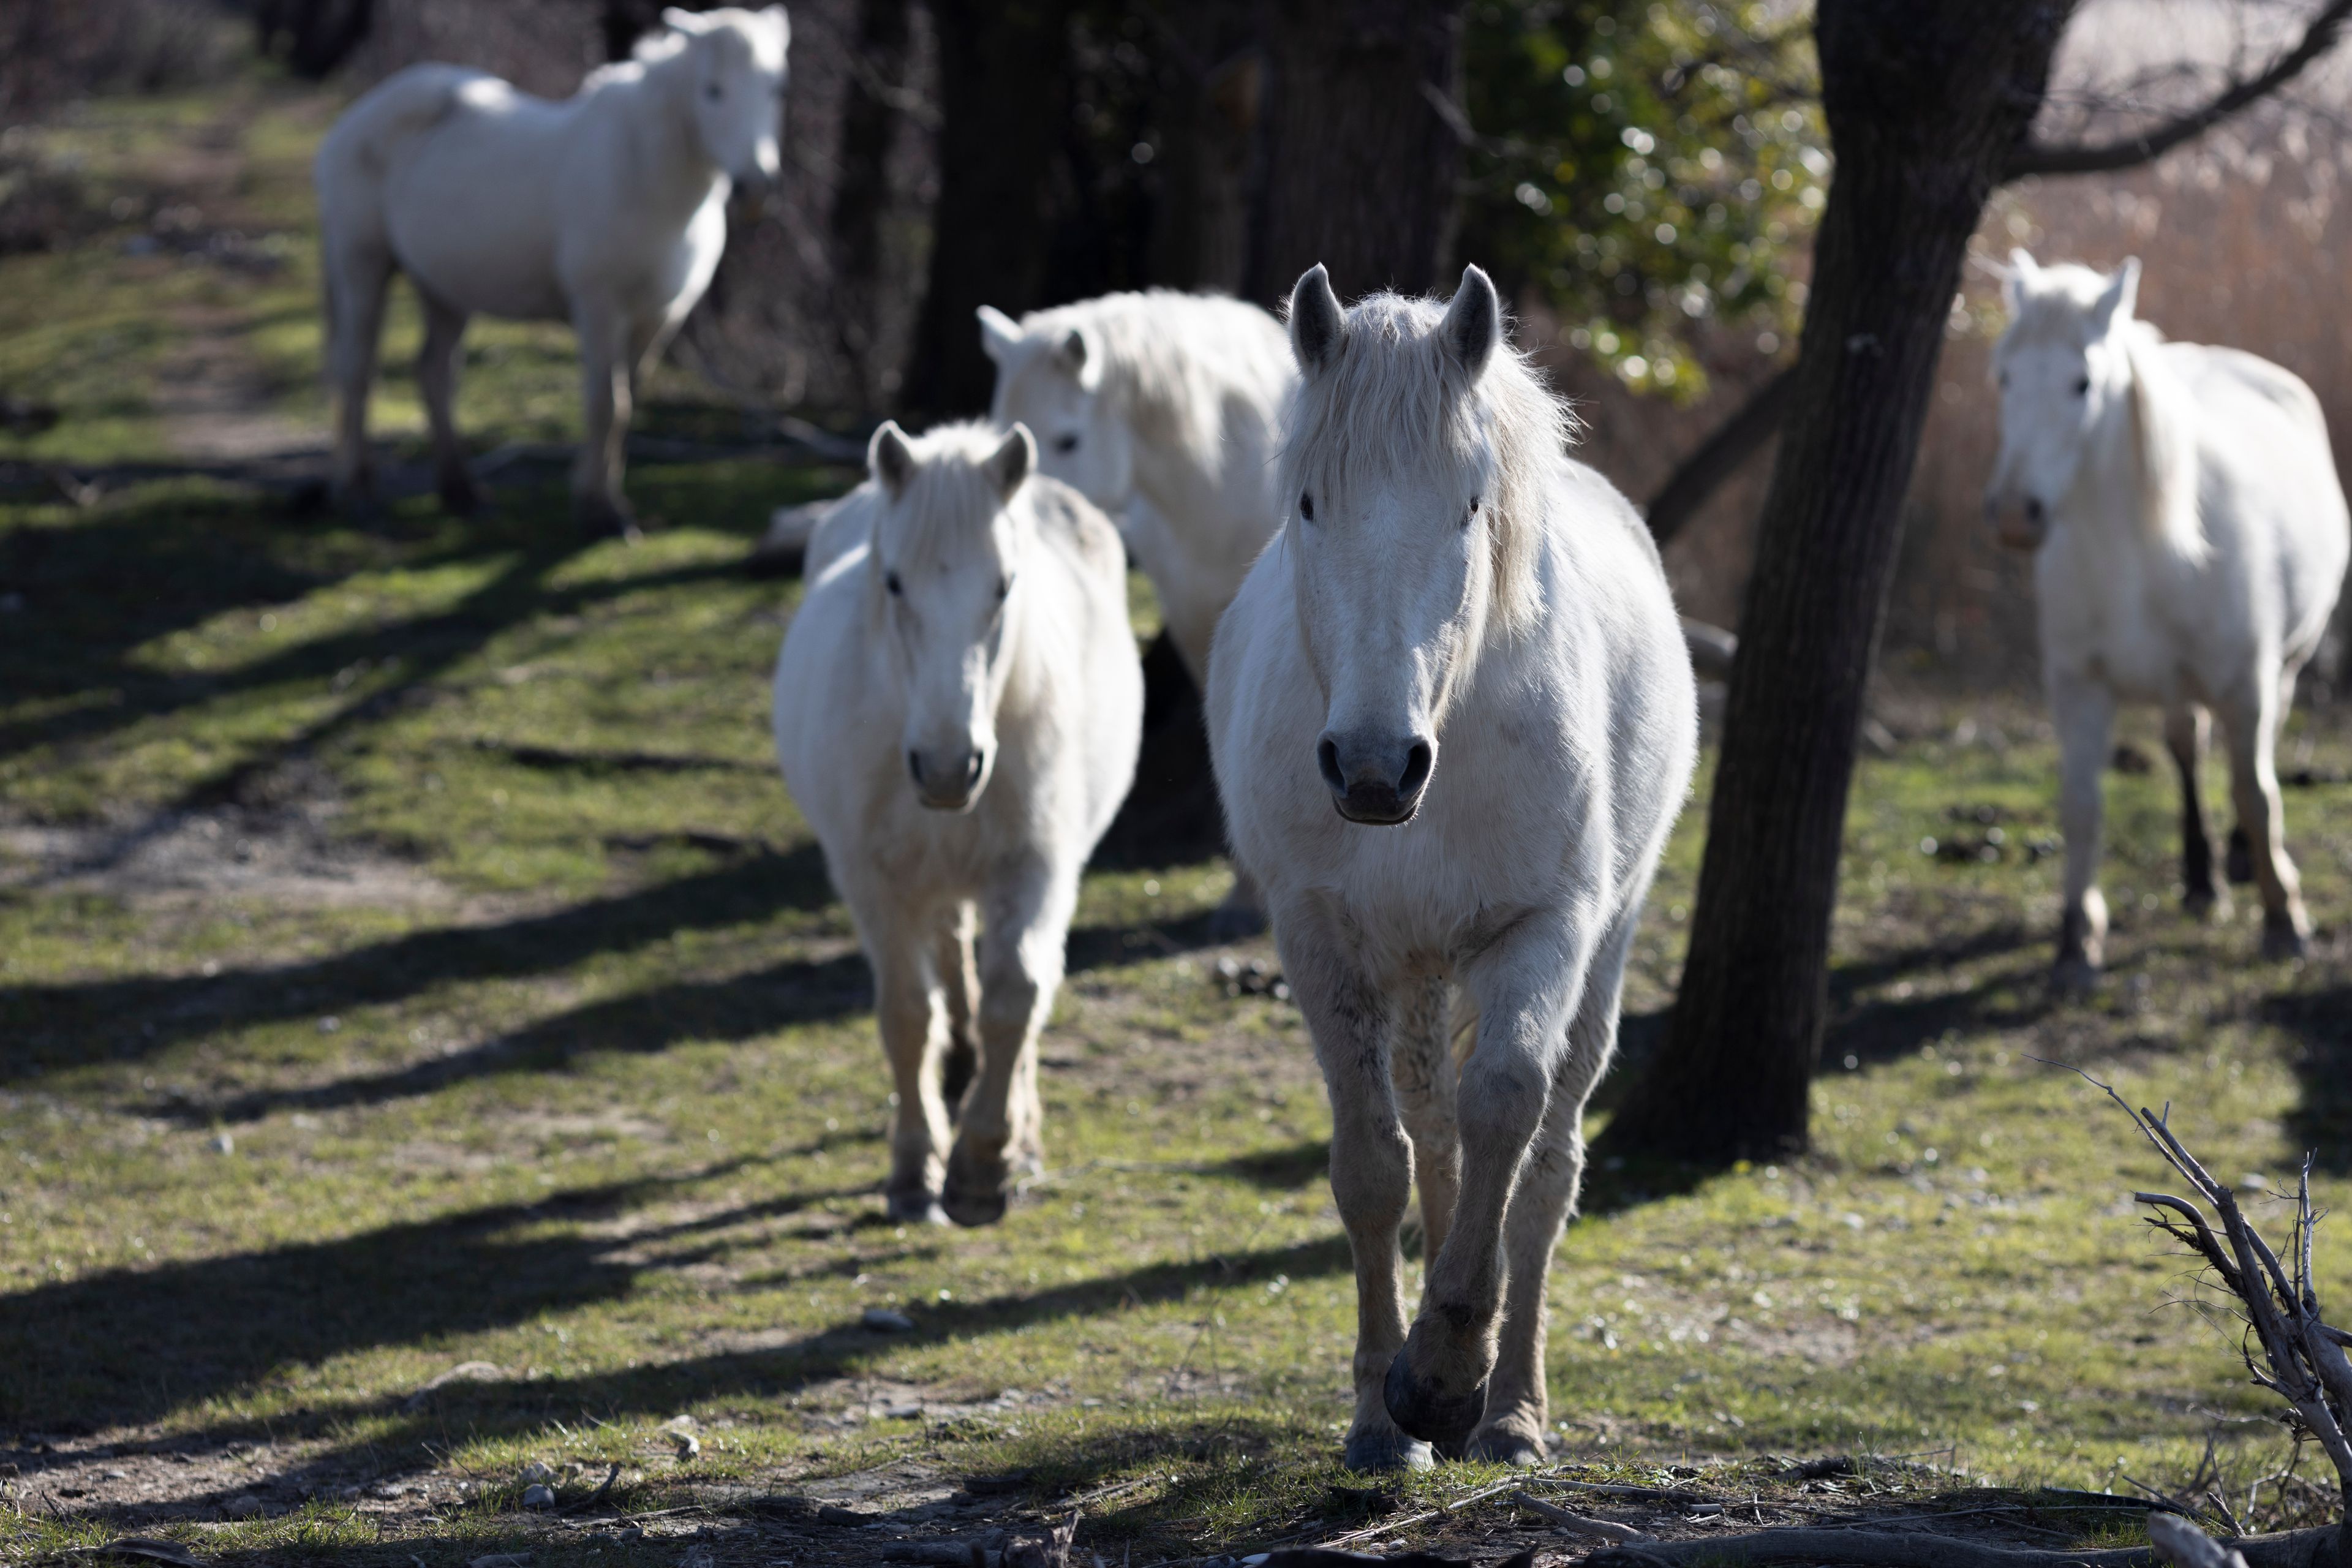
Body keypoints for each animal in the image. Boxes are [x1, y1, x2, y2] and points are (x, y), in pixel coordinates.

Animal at [314, 6, 788, 534]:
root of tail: (354, 120)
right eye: (713, 90)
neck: (642, 175)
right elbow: (607, 404)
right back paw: (357, 489)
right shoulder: (600, 309)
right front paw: (601, 509)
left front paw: (601, 493)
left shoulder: (659, 317)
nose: (756, 186)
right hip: (361, 265)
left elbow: (629, 399)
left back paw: (460, 491)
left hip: (442, 290)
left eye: (776, 88)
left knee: (434, 374)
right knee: (356, 370)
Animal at [773, 420, 1142, 1226]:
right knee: (948, 950)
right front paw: (915, 1164)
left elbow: (1017, 995)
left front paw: (982, 1161)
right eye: (893, 582)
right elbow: (909, 1015)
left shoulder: (1038, 868)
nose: (947, 768)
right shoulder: (874, 881)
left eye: (1003, 586)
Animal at [1206, 265, 1697, 1469]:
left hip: (1601, 952)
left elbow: (1508, 1114)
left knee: (1544, 1169)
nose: (1375, 768)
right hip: (1417, 970)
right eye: (1309, 503)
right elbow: (1375, 1166)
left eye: (1470, 506)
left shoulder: (1545, 930)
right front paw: (1384, 1414)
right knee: (1431, 1134)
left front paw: (1443, 1376)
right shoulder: (1320, 938)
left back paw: (1512, 1407)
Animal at [1986, 252, 2348, 987]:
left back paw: (2238, 862)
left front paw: (2284, 919)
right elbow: (2082, 807)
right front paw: (2076, 941)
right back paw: (2202, 878)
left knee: (2259, 753)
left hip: (2286, 664)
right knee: (2187, 748)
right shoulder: (2079, 688)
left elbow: (2257, 792)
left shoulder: (2245, 683)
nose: (2014, 514)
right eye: (2004, 375)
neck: (2133, 554)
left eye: (2082, 383)